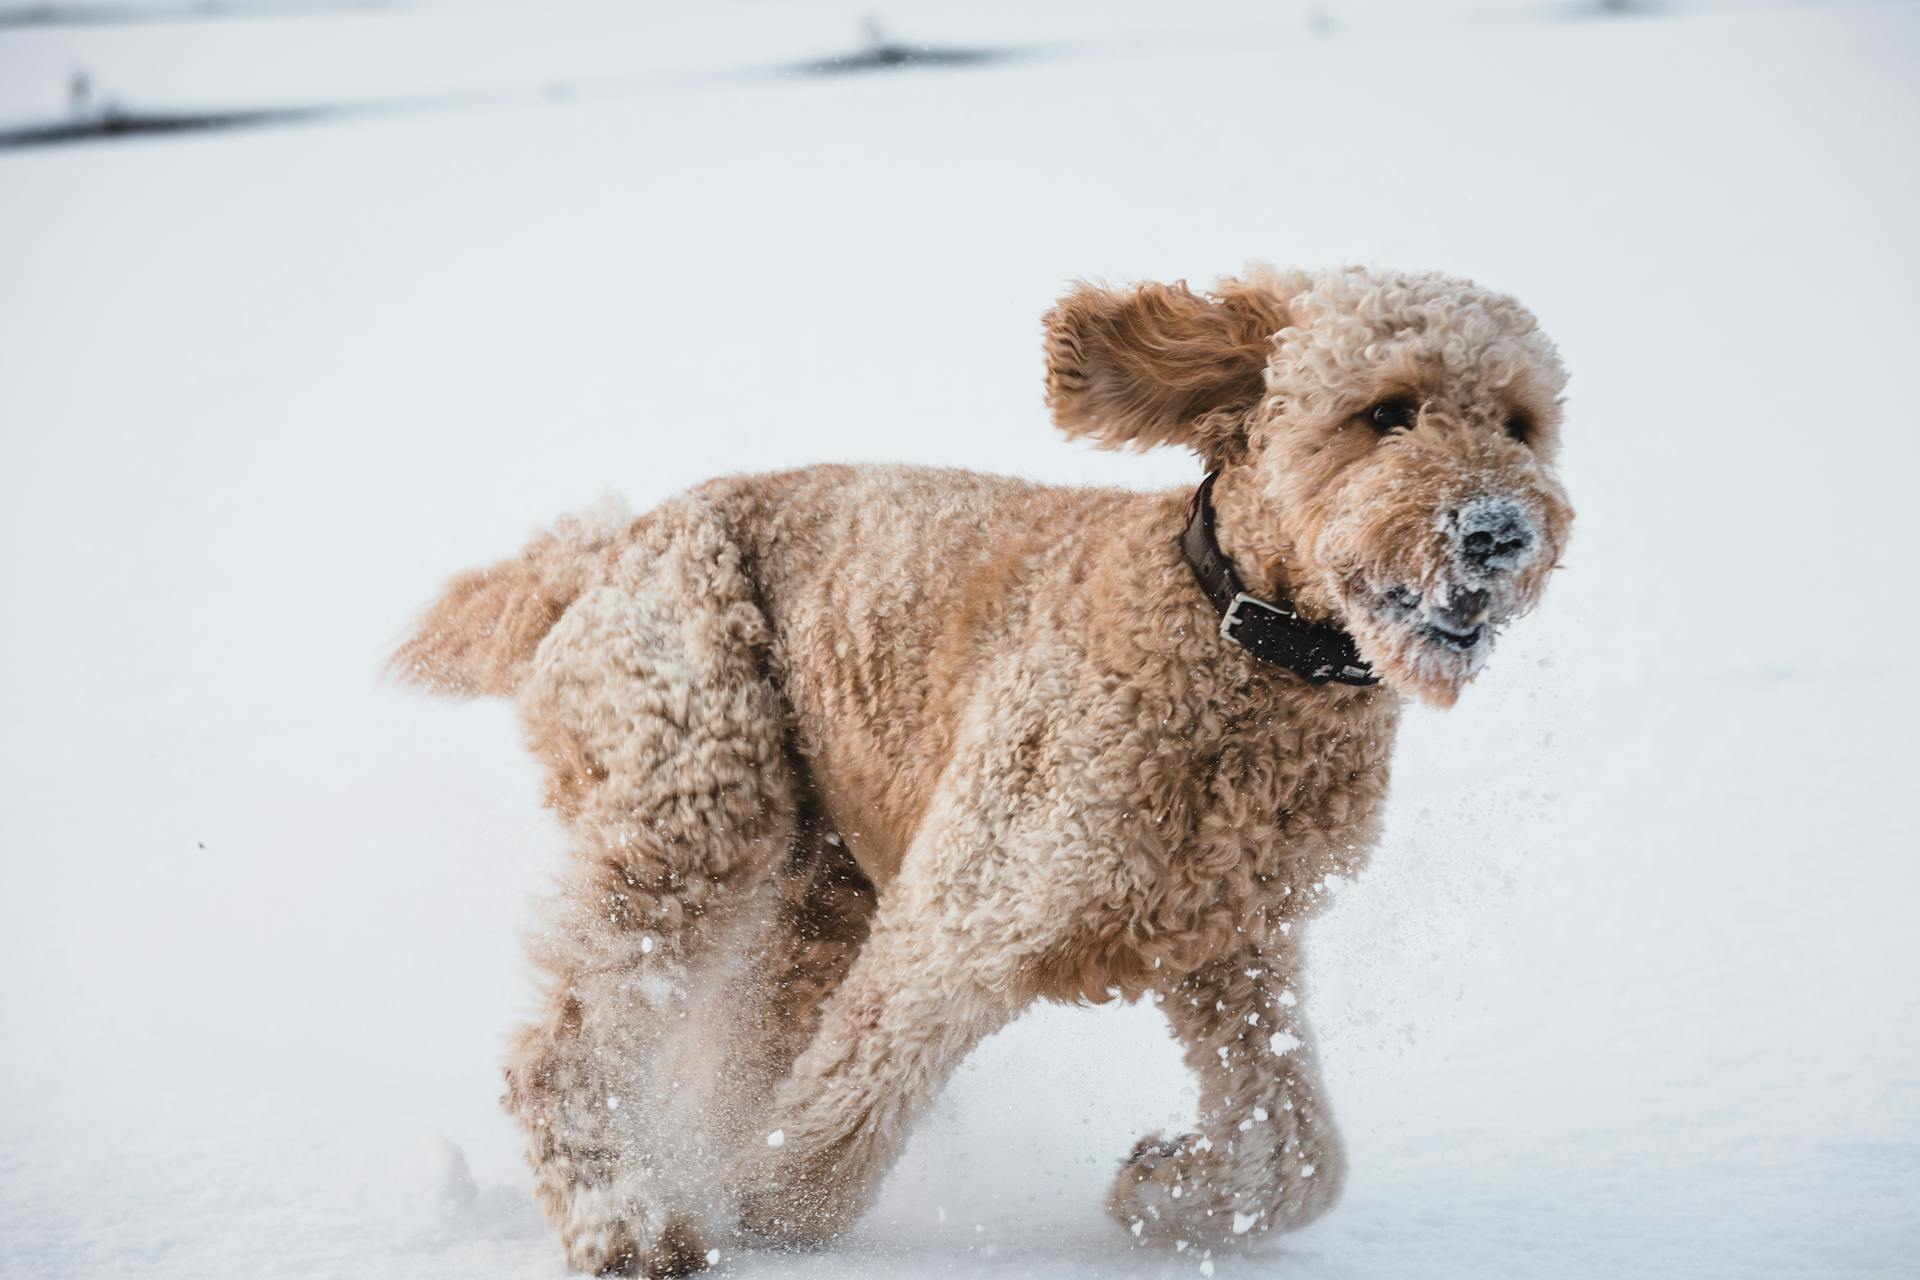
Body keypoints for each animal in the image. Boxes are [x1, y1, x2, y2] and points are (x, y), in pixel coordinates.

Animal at [389, 264, 1574, 1274]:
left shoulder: (1233, 949)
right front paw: (757, 1214)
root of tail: (600, 554)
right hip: (701, 789)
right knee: (561, 1049)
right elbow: (840, 1118)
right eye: (1387, 411)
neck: (1234, 638)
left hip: (813, 890)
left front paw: (1165, 1190)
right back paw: (631, 1222)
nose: (1497, 531)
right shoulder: (968, 911)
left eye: (1523, 425)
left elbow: (1298, 1152)